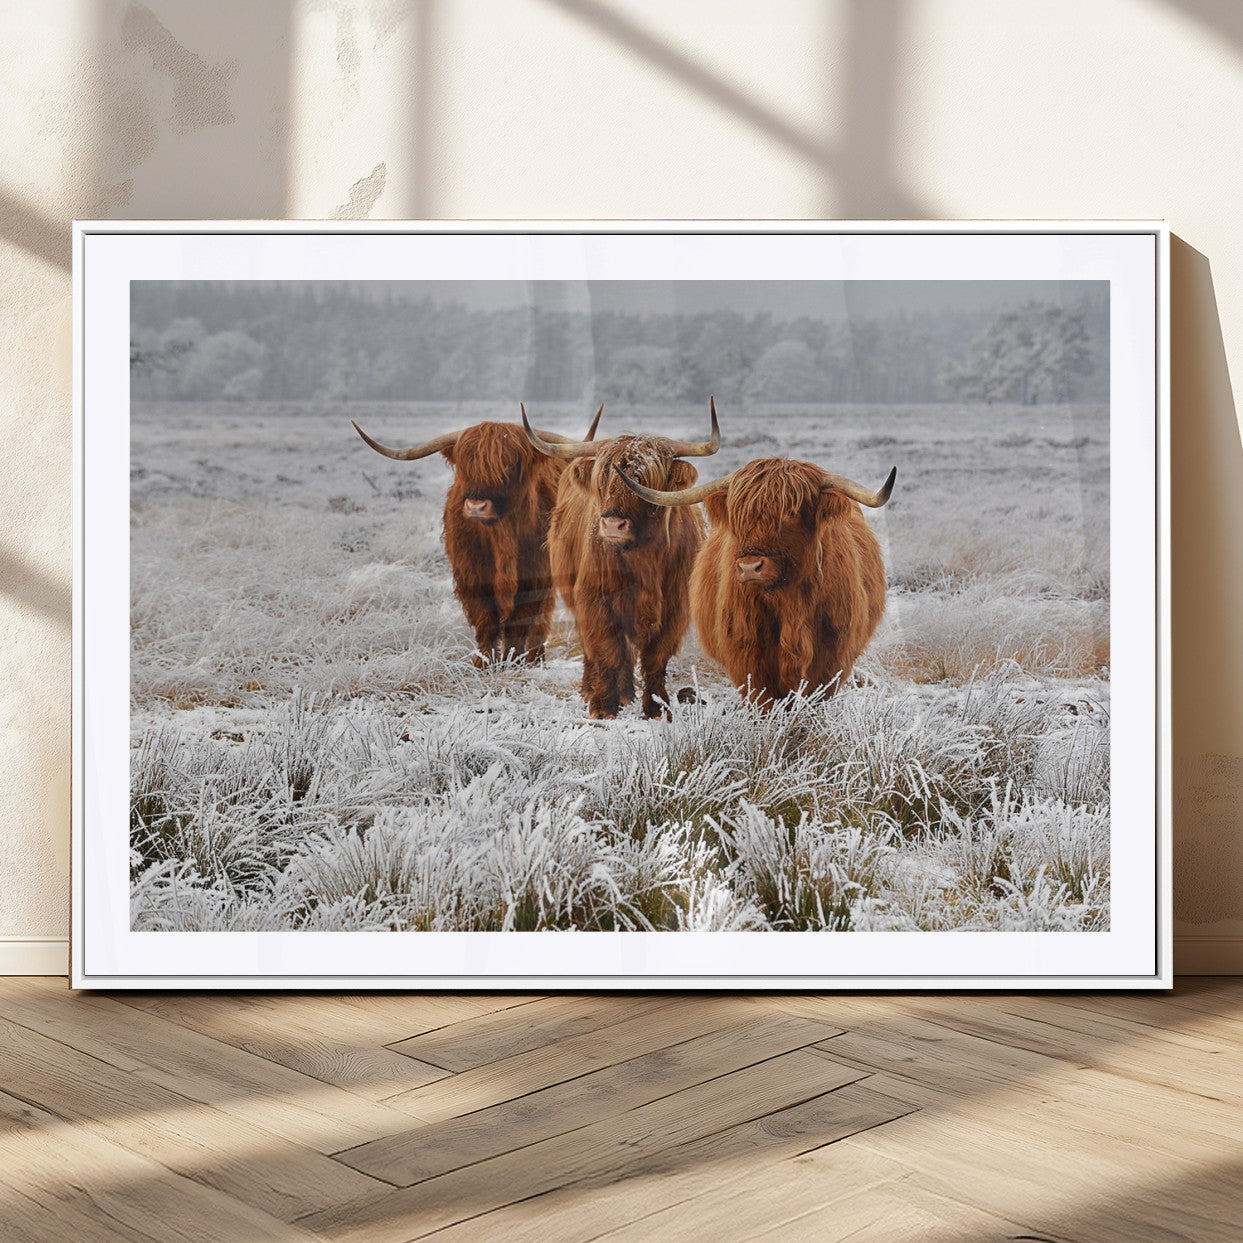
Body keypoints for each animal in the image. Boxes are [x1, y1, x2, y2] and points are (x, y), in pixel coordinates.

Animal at [352, 408, 601, 666]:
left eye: (510, 465)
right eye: (465, 466)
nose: (476, 506)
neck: (501, 537)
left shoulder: (535, 574)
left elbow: (520, 620)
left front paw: (513, 660)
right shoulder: (471, 574)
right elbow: (485, 619)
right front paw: (484, 663)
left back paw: (535, 657)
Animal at [522, 400, 721, 719]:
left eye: (645, 481)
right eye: (602, 480)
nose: (613, 525)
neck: (643, 560)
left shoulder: (675, 607)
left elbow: (655, 659)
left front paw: (657, 708)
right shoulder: (595, 599)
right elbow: (608, 652)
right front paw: (603, 707)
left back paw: (627, 694)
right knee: (597, 649)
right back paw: (593, 690)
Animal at [619, 453, 896, 706]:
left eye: (791, 511)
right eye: (738, 514)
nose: (749, 567)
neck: (790, 604)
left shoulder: (832, 657)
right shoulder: (748, 657)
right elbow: (764, 702)